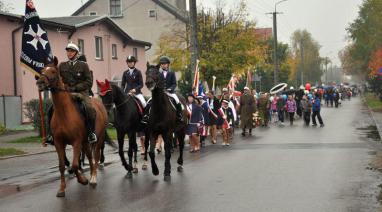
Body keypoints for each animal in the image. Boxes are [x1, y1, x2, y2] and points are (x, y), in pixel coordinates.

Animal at [36, 58, 107, 197]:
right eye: (42, 70)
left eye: (53, 71)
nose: (40, 83)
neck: (64, 112)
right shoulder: (59, 143)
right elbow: (62, 166)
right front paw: (62, 189)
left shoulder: (76, 142)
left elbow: (74, 165)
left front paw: (83, 180)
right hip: (85, 142)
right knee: (90, 157)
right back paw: (91, 174)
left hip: (98, 139)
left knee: (95, 156)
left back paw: (93, 178)